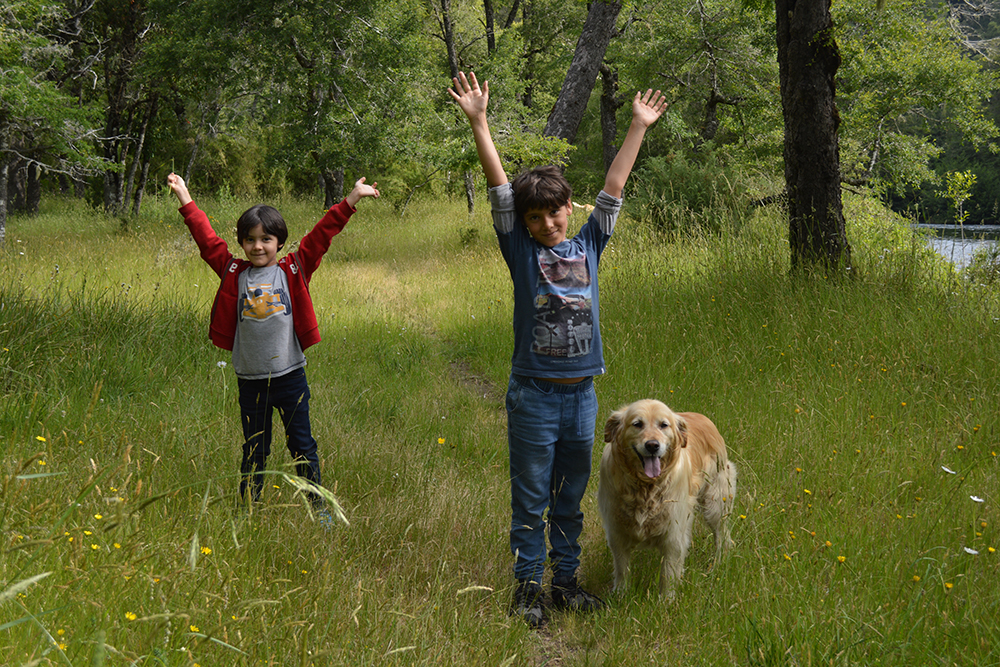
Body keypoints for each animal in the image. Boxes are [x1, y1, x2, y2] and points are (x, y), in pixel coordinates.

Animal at [596, 400, 740, 596]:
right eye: (637, 424)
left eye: (663, 425)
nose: (652, 445)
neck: (645, 487)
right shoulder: (616, 530)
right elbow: (621, 568)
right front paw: (620, 594)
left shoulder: (674, 533)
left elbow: (668, 573)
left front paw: (666, 599)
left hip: (715, 504)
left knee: (722, 536)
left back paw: (718, 564)